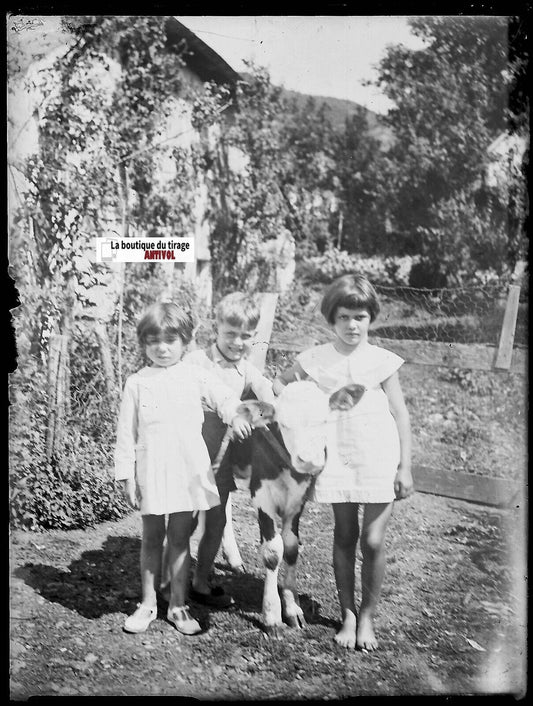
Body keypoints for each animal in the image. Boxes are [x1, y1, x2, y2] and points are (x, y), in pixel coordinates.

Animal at [227, 380, 364, 632]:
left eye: (324, 420)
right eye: (284, 424)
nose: (308, 460)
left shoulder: (299, 499)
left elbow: (290, 547)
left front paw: (293, 608)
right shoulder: (262, 495)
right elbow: (273, 552)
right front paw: (272, 615)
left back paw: (233, 558)